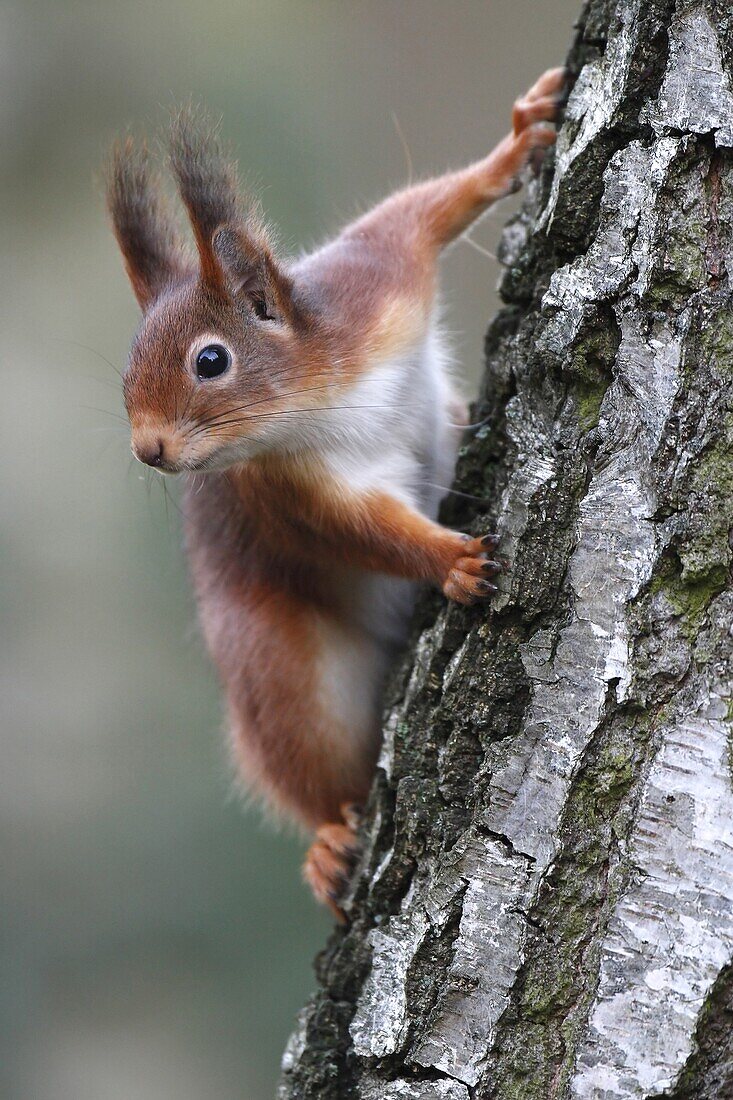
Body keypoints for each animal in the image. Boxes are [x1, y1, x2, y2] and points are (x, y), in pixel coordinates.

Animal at [107, 64, 559, 915]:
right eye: (125, 374)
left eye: (209, 362)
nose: (148, 450)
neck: (321, 393)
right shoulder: (290, 489)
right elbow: (363, 532)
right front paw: (451, 561)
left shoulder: (375, 282)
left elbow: (420, 212)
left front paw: (518, 140)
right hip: (278, 669)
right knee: (313, 774)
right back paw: (325, 843)